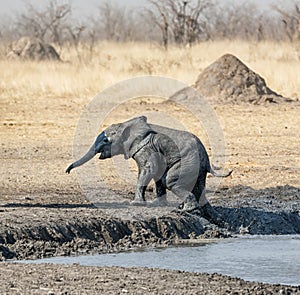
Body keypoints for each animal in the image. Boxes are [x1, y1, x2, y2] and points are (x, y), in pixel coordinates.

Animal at [67, 117, 231, 219]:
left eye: (106, 140)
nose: (67, 170)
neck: (126, 124)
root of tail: (207, 160)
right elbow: (155, 172)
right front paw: (155, 205)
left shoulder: (144, 148)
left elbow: (148, 169)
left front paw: (135, 204)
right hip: (197, 166)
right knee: (196, 186)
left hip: (187, 162)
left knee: (169, 181)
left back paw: (186, 209)